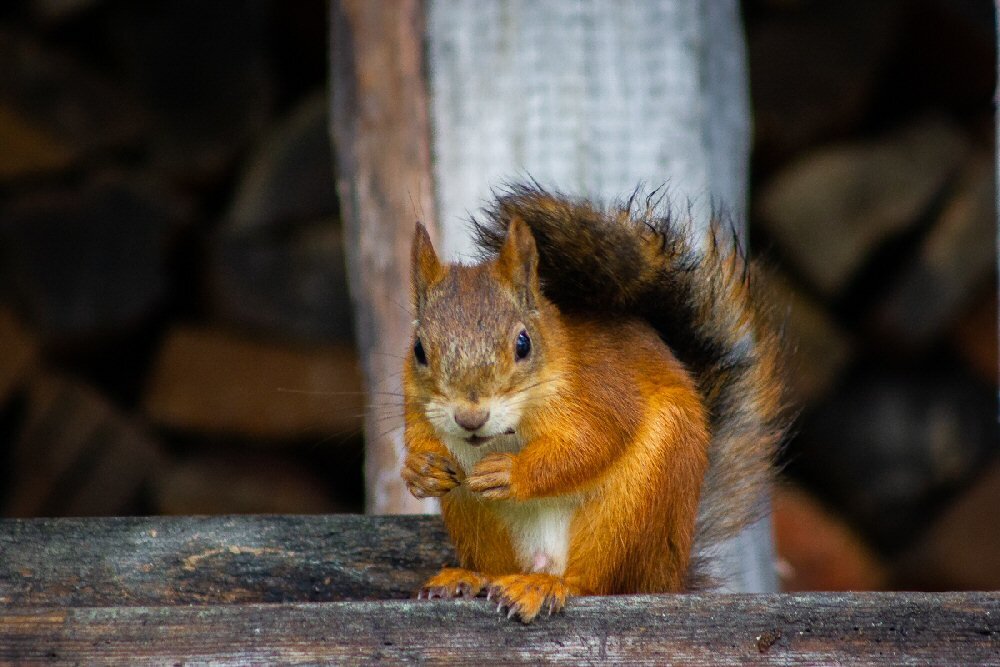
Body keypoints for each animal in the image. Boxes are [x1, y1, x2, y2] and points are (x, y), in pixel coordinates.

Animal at [402, 185, 784, 624]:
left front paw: (512, 472)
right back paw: (469, 577)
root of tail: (669, 577)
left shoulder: (604, 391)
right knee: (495, 566)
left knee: (594, 584)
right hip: (476, 516)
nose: (470, 417)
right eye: (419, 350)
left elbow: (593, 443)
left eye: (523, 343)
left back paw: (546, 585)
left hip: (633, 507)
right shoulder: (416, 408)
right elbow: (420, 442)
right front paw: (421, 471)